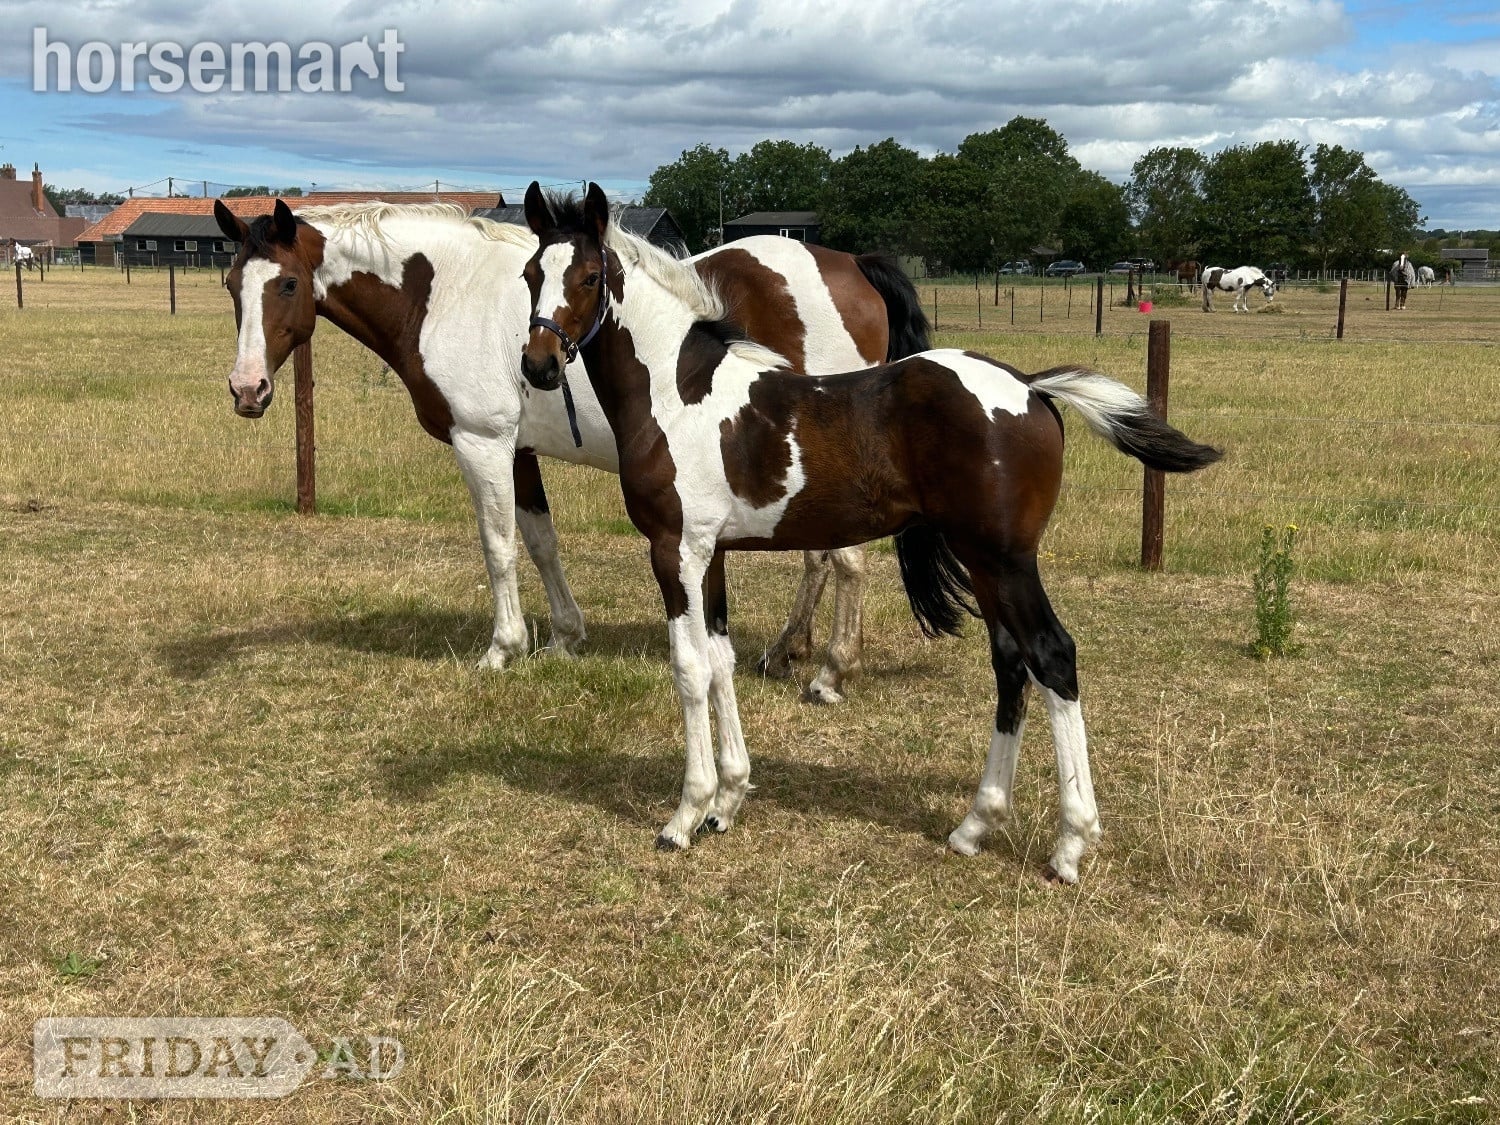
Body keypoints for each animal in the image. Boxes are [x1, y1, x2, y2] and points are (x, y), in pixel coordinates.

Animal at [212, 198, 930, 703]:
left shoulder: (482, 444)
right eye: (230, 284)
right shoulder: (520, 451)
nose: (247, 389)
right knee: (820, 559)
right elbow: (540, 541)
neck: (443, 293)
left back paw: (830, 672)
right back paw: (788, 650)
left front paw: (503, 648)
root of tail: (851, 266)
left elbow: (498, 547)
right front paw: (564, 637)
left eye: (285, 285)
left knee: (846, 561)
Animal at [519, 182, 1223, 883]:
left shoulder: (676, 552)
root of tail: (1030, 388)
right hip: (984, 563)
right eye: (531, 275)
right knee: (1010, 662)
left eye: (588, 278)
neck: (678, 394)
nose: (539, 366)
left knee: (1052, 656)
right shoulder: (709, 555)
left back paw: (1071, 843)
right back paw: (975, 825)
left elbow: (689, 669)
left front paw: (686, 816)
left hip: (1006, 559)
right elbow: (720, 664)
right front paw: (728, 801)